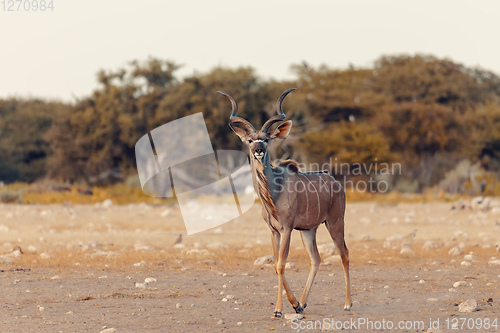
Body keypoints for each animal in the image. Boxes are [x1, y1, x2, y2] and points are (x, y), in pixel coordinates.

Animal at [218, 88, 352, 316]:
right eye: (250, 140)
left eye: (266, 139)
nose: (259, 150)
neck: (274, 192)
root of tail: (335, 182)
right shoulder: (274, 231)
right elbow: (276, 265)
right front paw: (294, 304)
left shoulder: (287, 229)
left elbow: (281, 264)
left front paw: (279, 309)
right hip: (309, 230)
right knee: (316, 259)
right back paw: (303, 304)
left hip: (335, 222)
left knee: (344, 254)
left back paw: (347, 304)